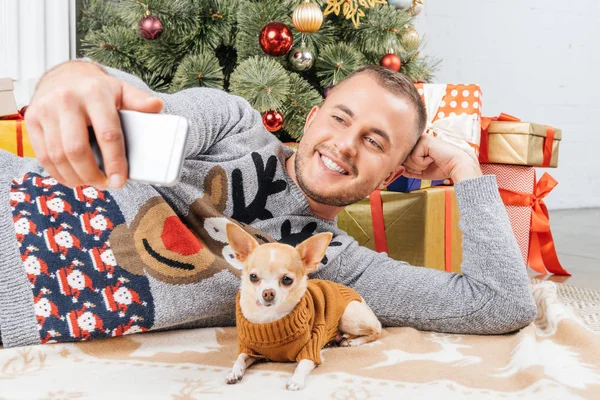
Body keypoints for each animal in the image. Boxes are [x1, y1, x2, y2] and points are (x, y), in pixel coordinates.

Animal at [223, 222, 382, 390]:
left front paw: (296, 380)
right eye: (253, 277)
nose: (268, 293)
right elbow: (240, 358)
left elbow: (303, 364)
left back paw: (352, 341)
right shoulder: (250, 349)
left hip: (348, 317)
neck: (270, 317)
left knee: (376, 331)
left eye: (287, 279)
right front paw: (234, 373)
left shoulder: (311, 346)